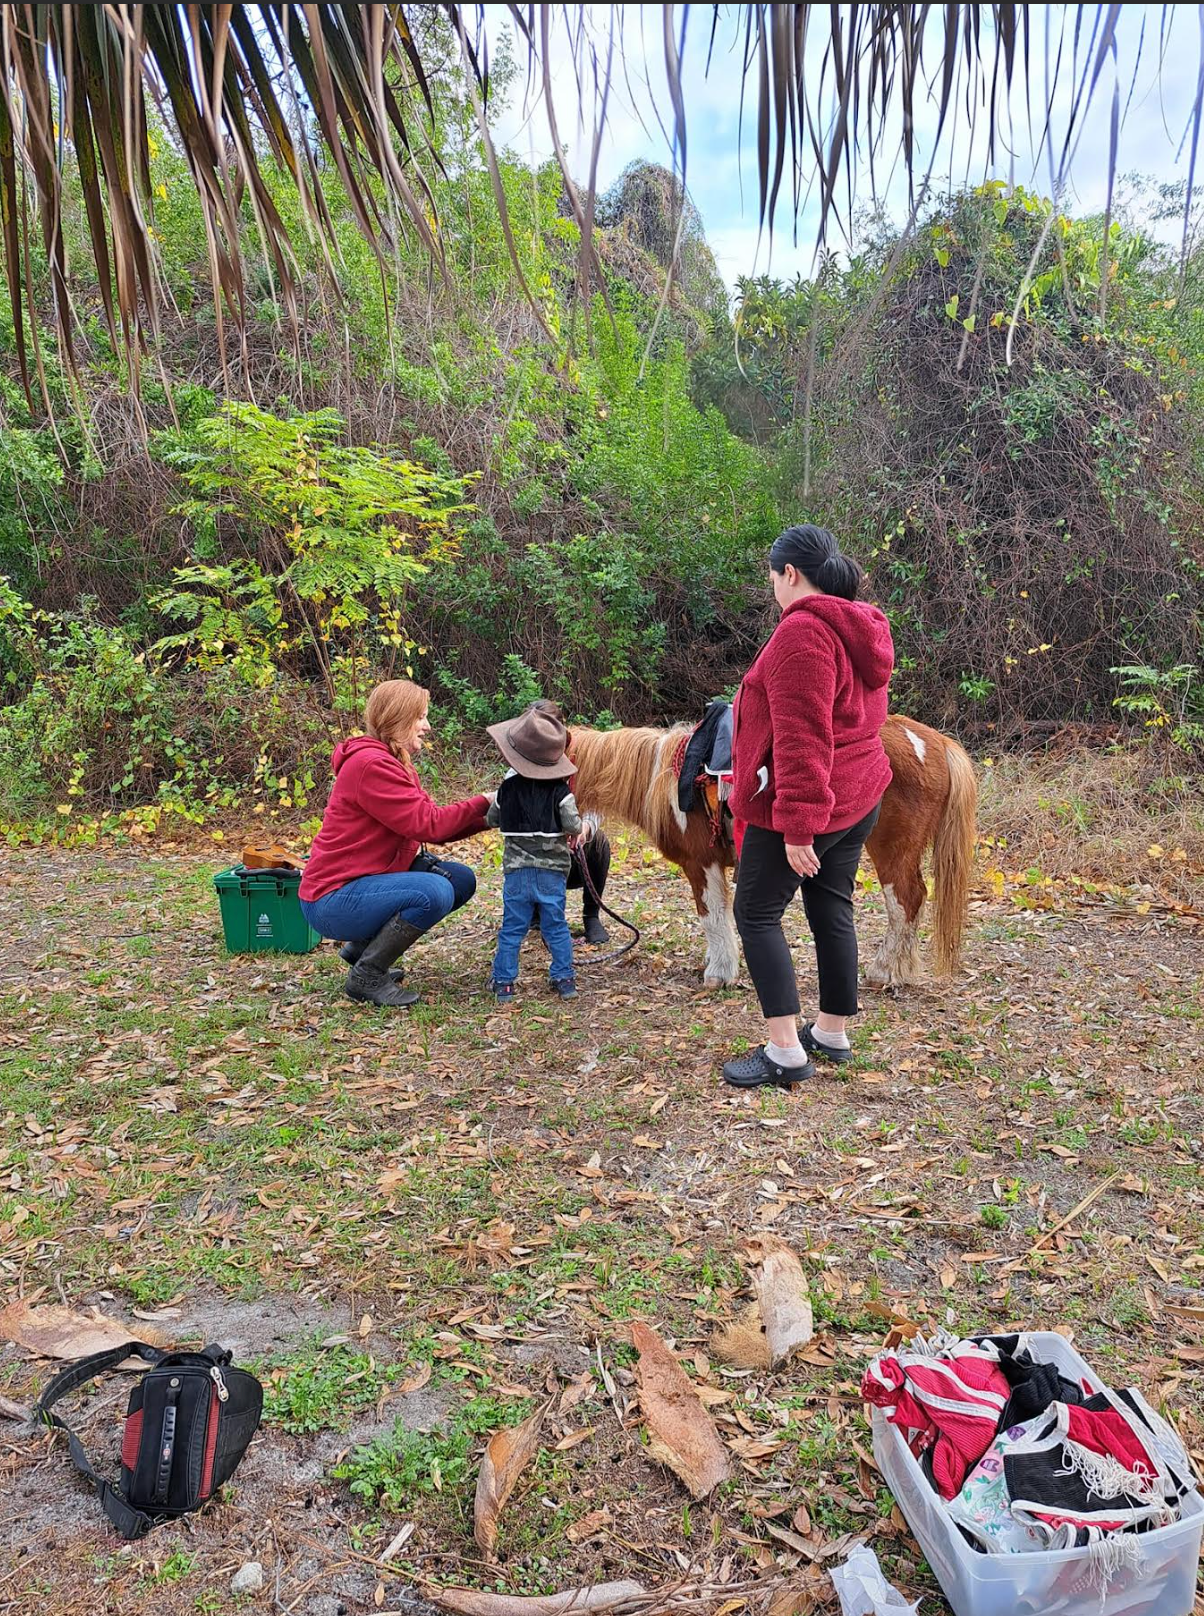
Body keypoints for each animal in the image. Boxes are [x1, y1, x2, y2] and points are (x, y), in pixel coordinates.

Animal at [568, 715, 977, 990]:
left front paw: (719, 973)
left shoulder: (701, 864)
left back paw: (884, 971)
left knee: (905, 901)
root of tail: (936, 743)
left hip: (892, 849)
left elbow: (711, 916)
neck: (666, 778)